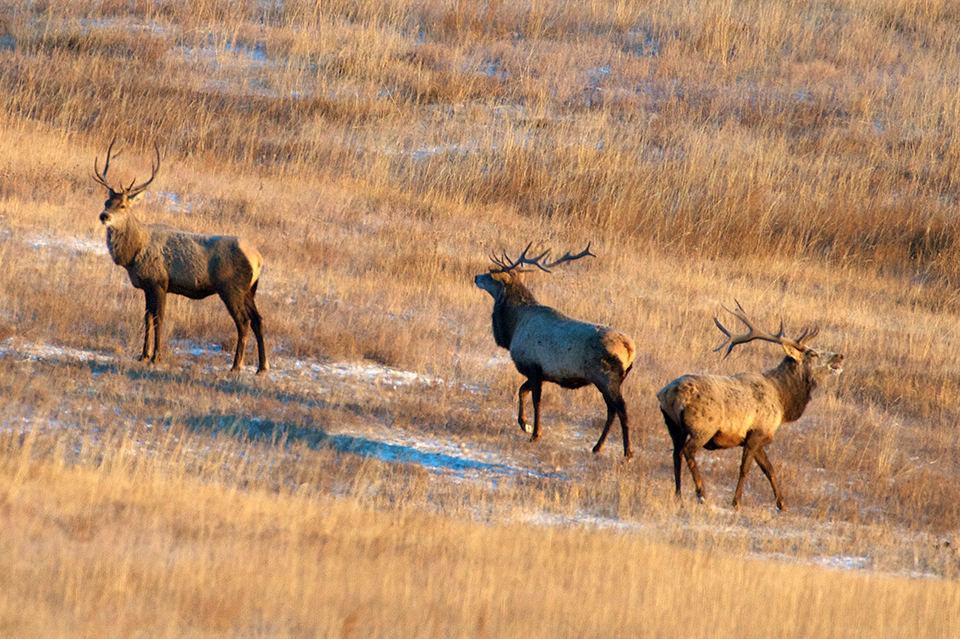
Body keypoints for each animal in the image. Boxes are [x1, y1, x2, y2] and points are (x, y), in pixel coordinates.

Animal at [92, 138, 268, 372]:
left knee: (244, 322)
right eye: (106, 202)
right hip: (250, 290)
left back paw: (236, 366)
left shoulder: (159, 281)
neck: (133, 254)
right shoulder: (147, 285)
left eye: (122, 205)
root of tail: (258, 259)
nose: (104, 216)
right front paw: (143, 355)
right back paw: (262, 367)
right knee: (258, 319)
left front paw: (156, 357)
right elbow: (147, 318)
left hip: (231, 287)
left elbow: (158, 319)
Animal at [474, 242, 636, 458]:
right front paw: (524, 424)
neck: (514, 326)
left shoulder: (533, 366)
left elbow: (535, 399)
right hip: (608, 380)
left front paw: (535, 433)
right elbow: (522, 391)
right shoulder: (542, 373)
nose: (476, 277)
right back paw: (597, 447)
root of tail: (630, 349)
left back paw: (627, 452)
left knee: (621, 409)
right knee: (612, 410)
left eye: (492, 274)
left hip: (607, 378)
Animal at [656, 302, 844, 512]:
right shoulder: (756, 432)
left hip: (673, 426)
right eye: (813, 353)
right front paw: (736, 502)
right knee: (688, 450)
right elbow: (745, 468)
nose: (840, 356)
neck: (782, 402)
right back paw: (701, 493)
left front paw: (783, 504)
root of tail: (668, 394)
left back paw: (678, 495)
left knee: (676, 454)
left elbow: (769, 469)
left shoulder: (760, 438)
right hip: (703, 426)